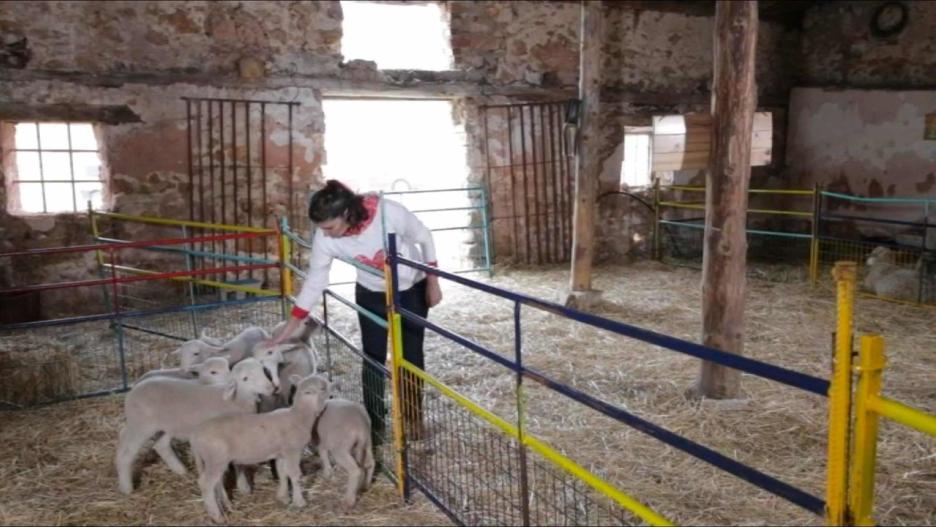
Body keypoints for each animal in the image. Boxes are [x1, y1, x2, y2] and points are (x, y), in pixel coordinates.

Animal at [114, 358, 274, 496]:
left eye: (263, 371)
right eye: (245, 378)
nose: (271, 388)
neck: (236, 400)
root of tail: (133, 390)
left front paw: (243, 487)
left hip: (166, 426)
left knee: (159, 445)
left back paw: (180, 470)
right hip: (141, 425)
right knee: (127, 452)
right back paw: (126, 487)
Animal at [188, 376, 330, 524]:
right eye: (323, 388)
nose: (330, 393)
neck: (299, 417)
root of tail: (194, 435)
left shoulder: (281, 453)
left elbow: (282, 473)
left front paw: (283, 497)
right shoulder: (292, 451)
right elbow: (295, 475)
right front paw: (300, 502)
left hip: (214, 460)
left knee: (217, 482)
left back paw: (226, 505)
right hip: (216, 458)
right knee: (206, 483)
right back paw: (217, 516)